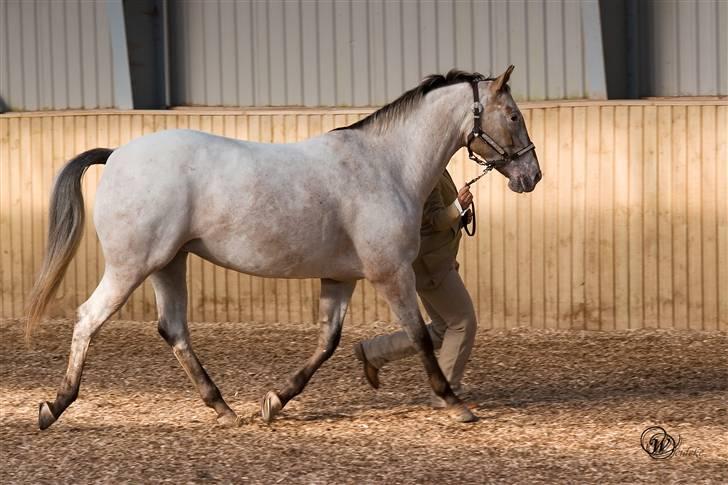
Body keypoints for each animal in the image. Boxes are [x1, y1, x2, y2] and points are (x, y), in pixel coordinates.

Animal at [27, 63, 540, 428]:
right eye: (514, 116)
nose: (531, 176)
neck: (386, 166)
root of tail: (116, 154)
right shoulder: (391, 273)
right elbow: (417, 336)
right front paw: (455, 403)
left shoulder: (341, 277)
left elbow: (328, 342)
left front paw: (274, 400)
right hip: (132, 266)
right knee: (88, 318)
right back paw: (55, 406)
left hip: (169, 263)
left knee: (173, 329)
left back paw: (224, 409)